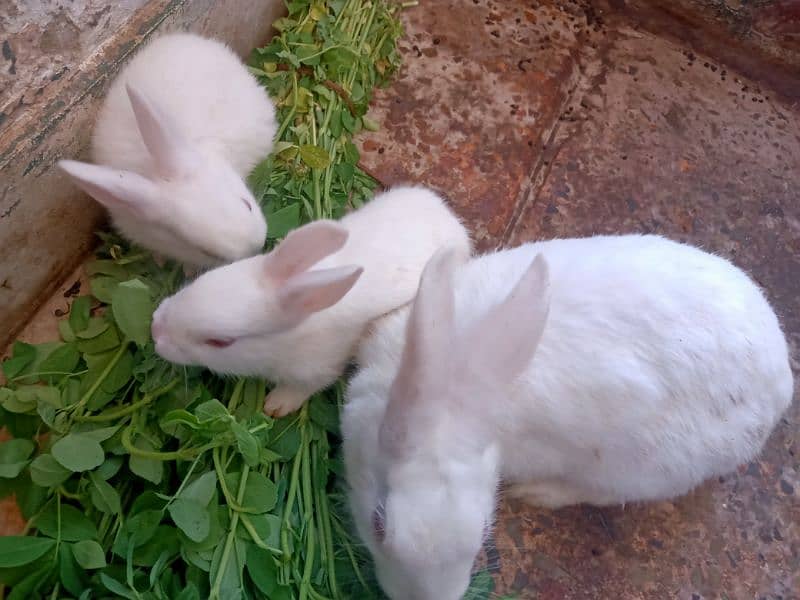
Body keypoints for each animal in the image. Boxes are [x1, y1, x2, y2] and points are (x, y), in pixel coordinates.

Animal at [152, 188, 468, 418]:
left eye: (220, 342)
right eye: (204, 280)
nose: (155, 330)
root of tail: (449, 218)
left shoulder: (318, 368)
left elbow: (304, 387)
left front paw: (275, 406)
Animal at [344, 234, 792, 600]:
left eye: (485, 533)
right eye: (378, 525)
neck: (452, 386)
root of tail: (781, 388)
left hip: (644, 471)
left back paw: (540, 492)